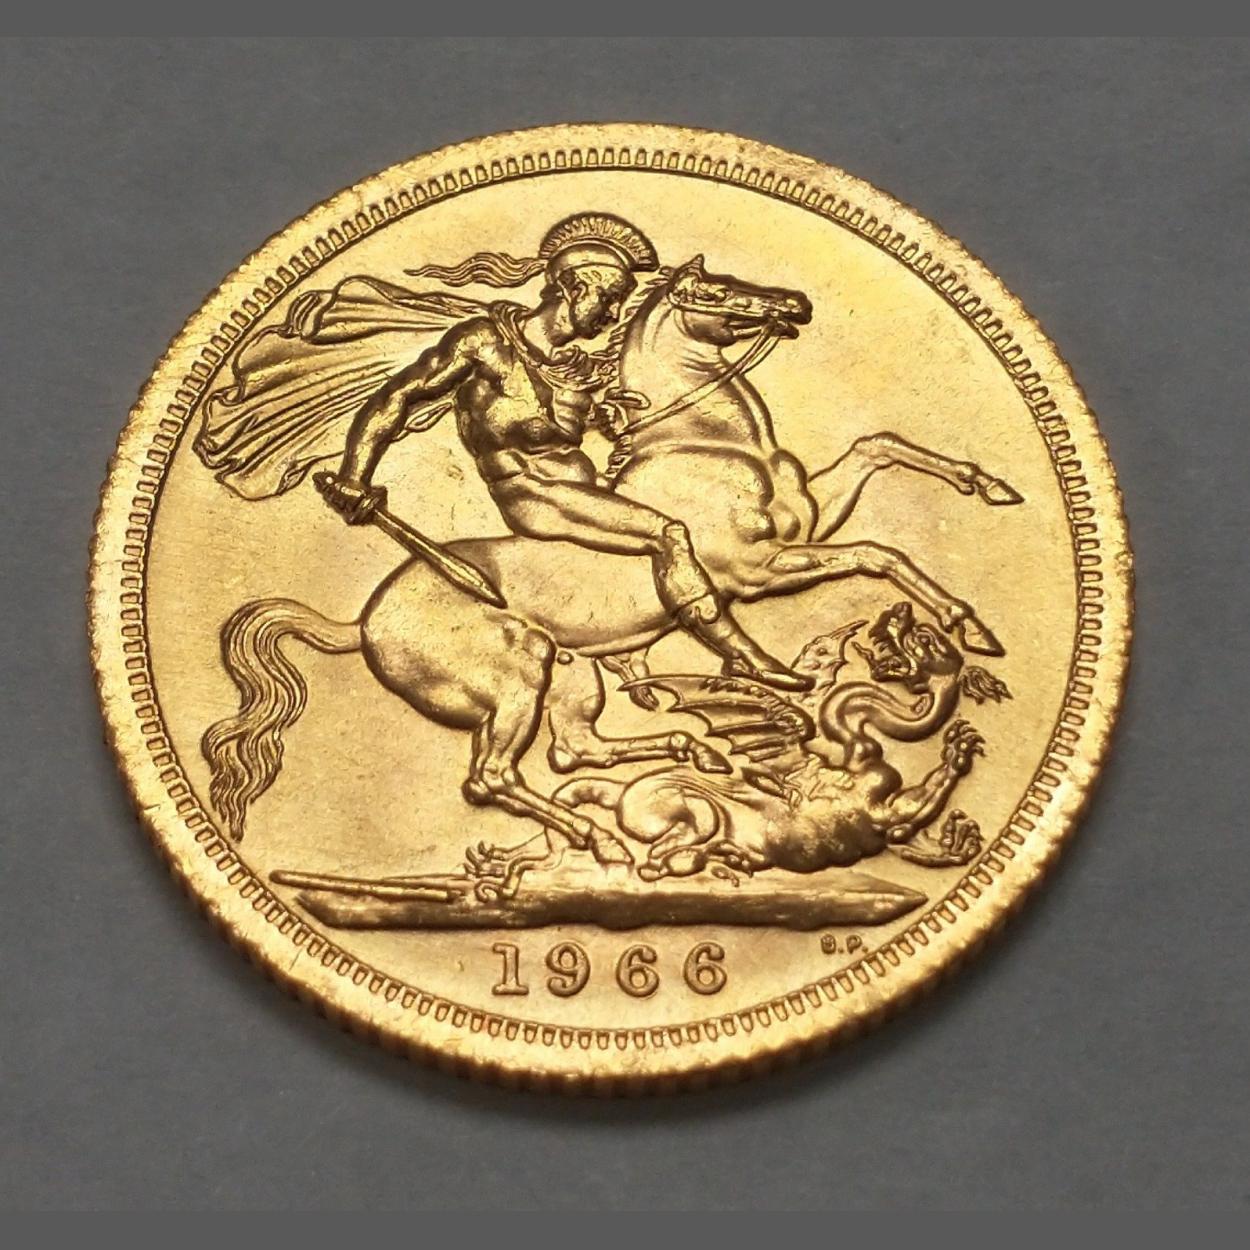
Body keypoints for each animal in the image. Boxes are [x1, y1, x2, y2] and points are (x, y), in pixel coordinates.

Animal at [202, 255, 1021, 872]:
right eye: (713, 289)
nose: (794, 302)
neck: (704, 442)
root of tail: (361, 621)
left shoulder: (810, 518)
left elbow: (878, 448)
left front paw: (989, 487)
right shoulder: (757, 569)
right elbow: (877, 552)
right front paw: (961, 625)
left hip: (573, 674)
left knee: (574, 750)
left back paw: (688, 752)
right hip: (520, 673)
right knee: (492, 775)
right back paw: (602, 833)